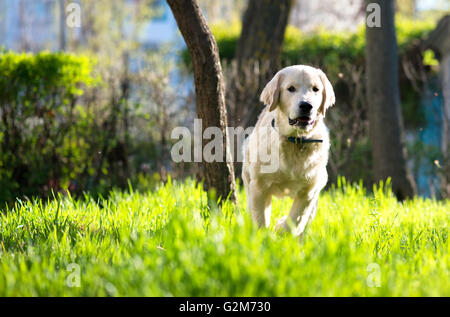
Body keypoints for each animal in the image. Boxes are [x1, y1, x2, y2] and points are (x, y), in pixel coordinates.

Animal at [243, 65, 334, 237]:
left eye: (316, 89)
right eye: (291, 88)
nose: (306, 105)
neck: (295, 141)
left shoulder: (309, 191)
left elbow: (296, 220)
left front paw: (281, 228)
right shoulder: (259, 186)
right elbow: (261, 219)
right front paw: (264, 238)